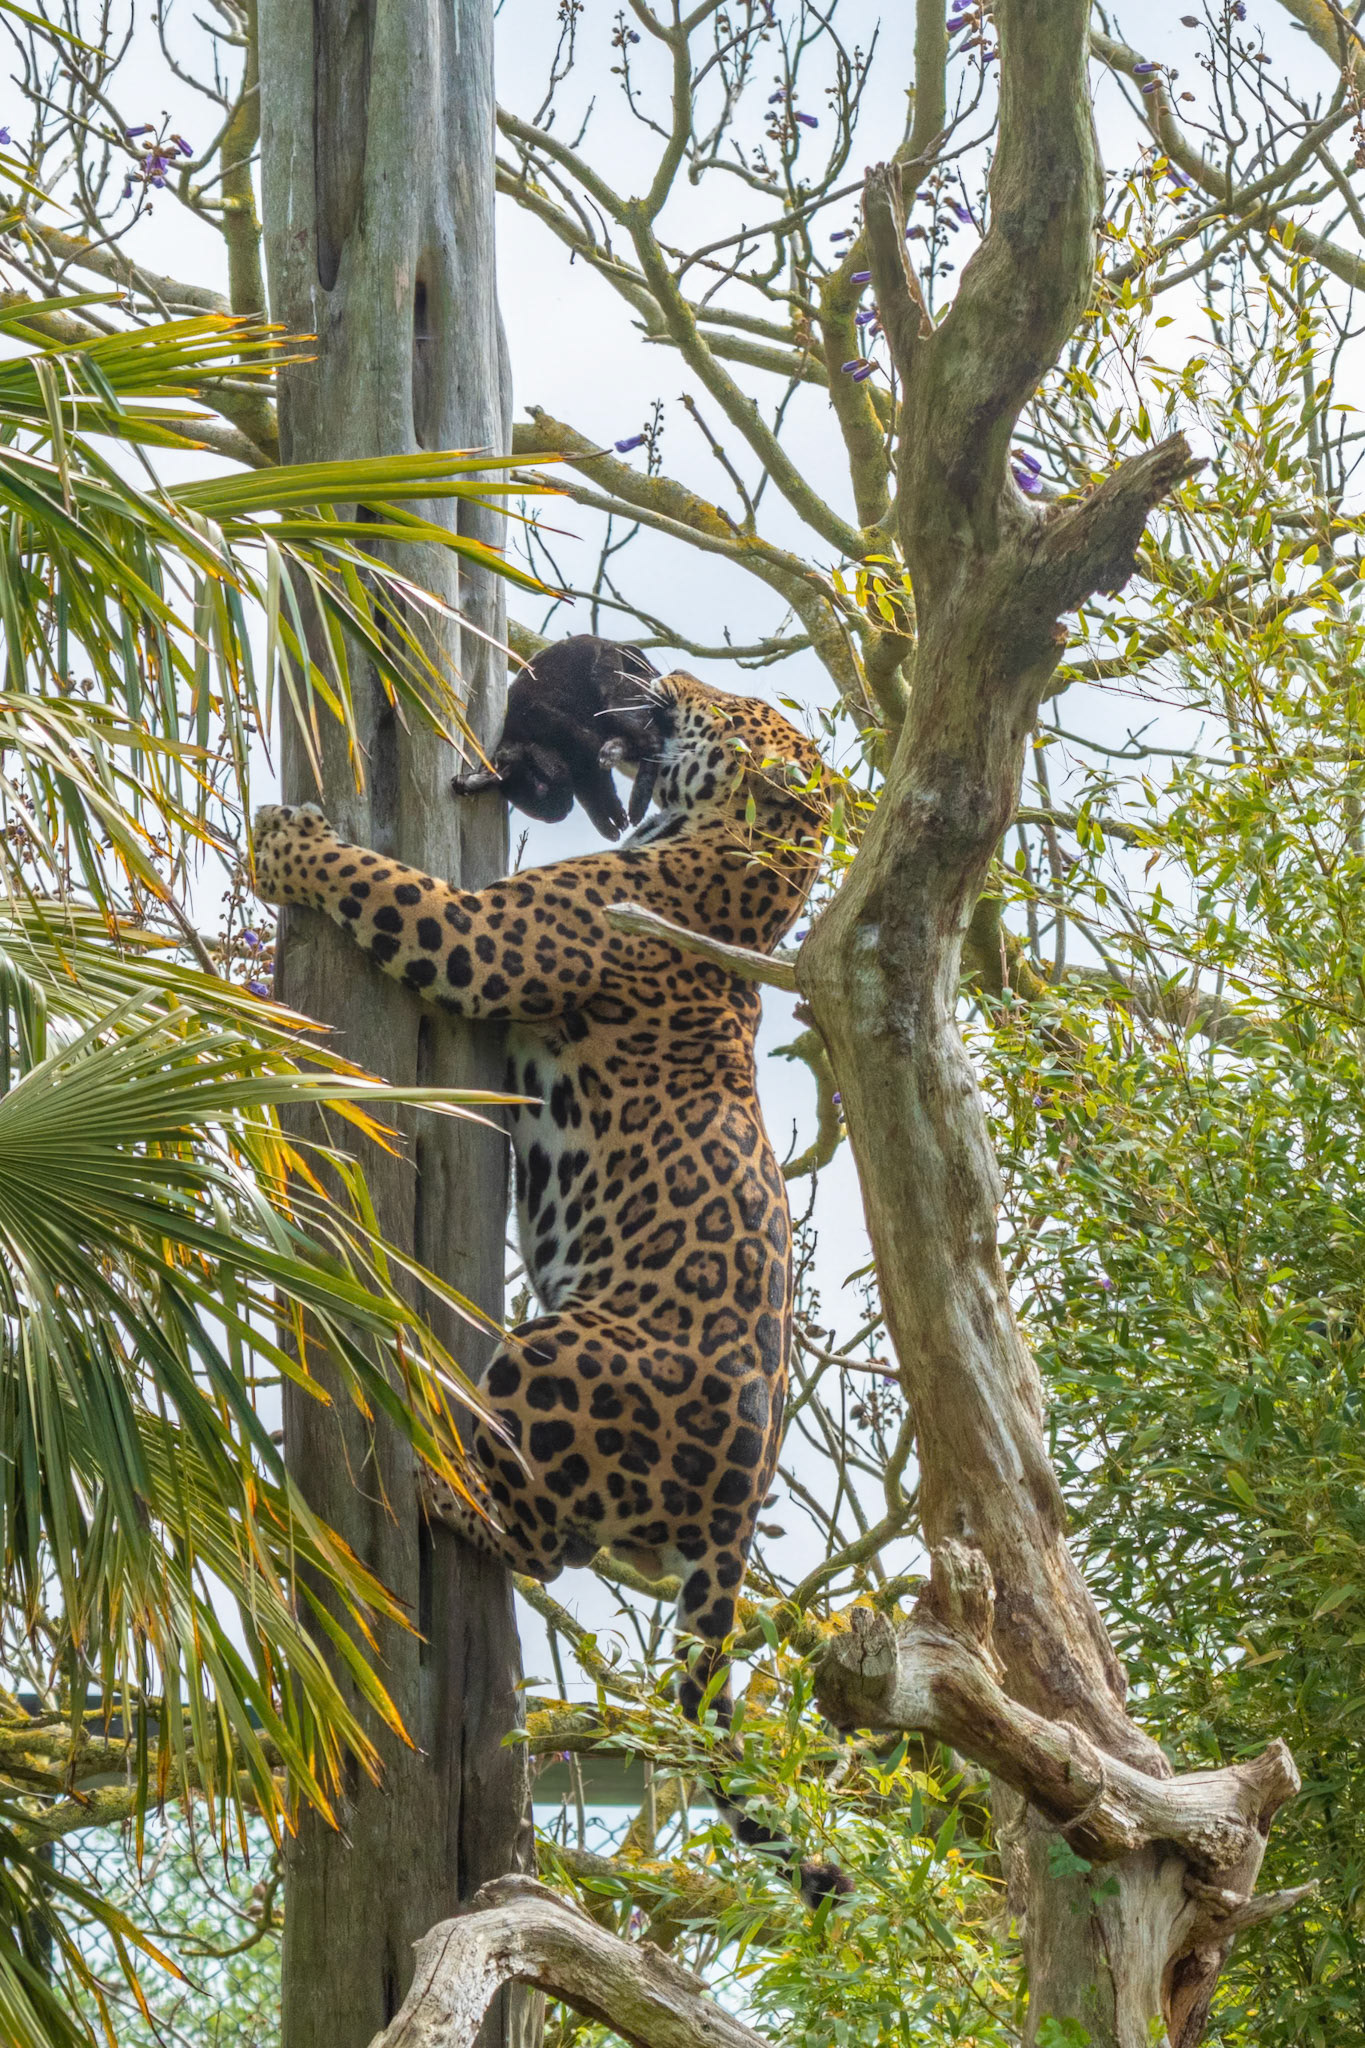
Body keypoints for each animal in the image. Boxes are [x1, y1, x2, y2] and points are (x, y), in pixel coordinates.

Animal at [250, 667, 846, 1899]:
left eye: (729, 708)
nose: (666, 675)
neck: (737, 875)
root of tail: (737, 1509)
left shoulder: (489, 938)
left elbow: (388, 885)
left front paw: (287, 842)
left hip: (556, 1348)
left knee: (534, 1536)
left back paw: (449, 1491)